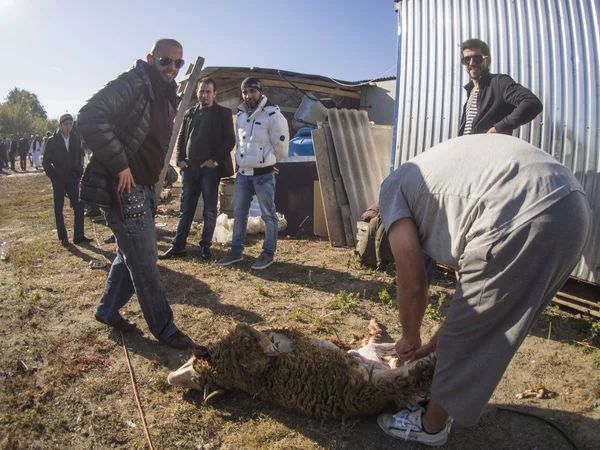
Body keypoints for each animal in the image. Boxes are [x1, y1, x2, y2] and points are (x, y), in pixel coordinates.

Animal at [166, 322, 434, 420]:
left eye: (192, 369)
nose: (170, 378)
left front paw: (272, 341)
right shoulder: (253, 359)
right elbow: (249, 333)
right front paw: (271, 345)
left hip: (370, 356)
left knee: (383, 348)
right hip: (383, 382)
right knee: (416, 371)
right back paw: (426, 356)